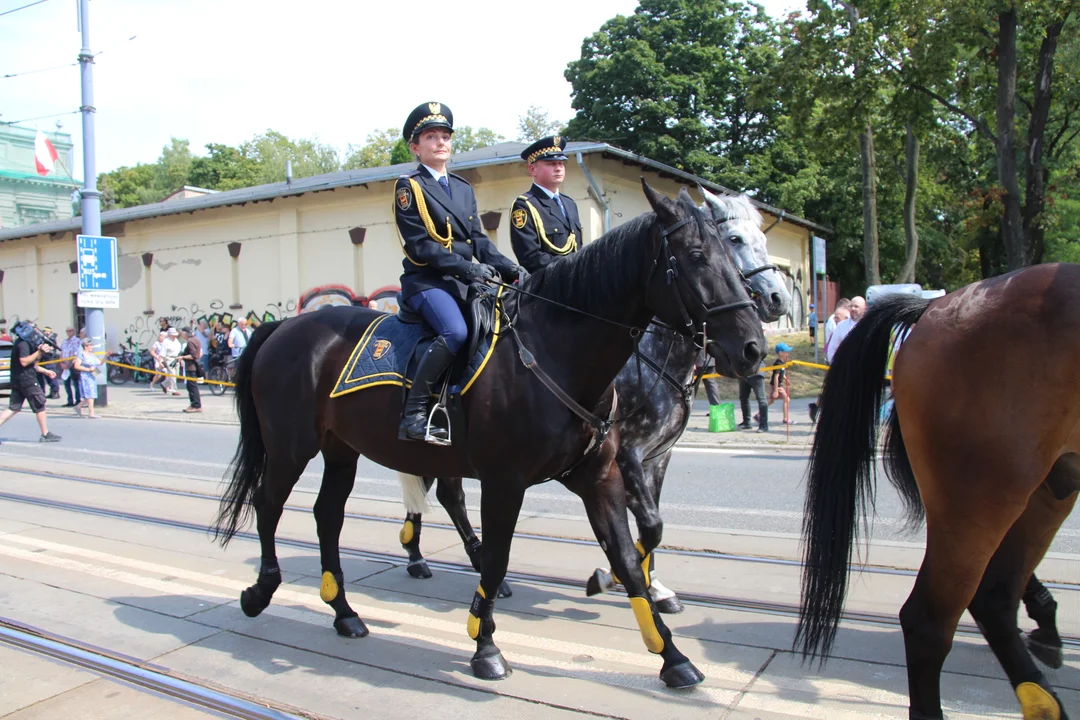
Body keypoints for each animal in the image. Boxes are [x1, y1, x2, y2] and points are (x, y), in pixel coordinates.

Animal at [212, 180, 768, 686]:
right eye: (698, 255)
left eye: (731, 251)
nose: (753, 347)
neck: (556, 351)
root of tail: (283, 327)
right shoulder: (508, 481)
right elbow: (500, 559)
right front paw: (485, 646)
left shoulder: (602, 476)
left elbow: (631, 555)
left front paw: (671, 655)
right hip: (291, 446)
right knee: (268, 504)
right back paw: (262, 592)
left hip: (342, 450)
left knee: (329, 515)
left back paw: (345, 612)